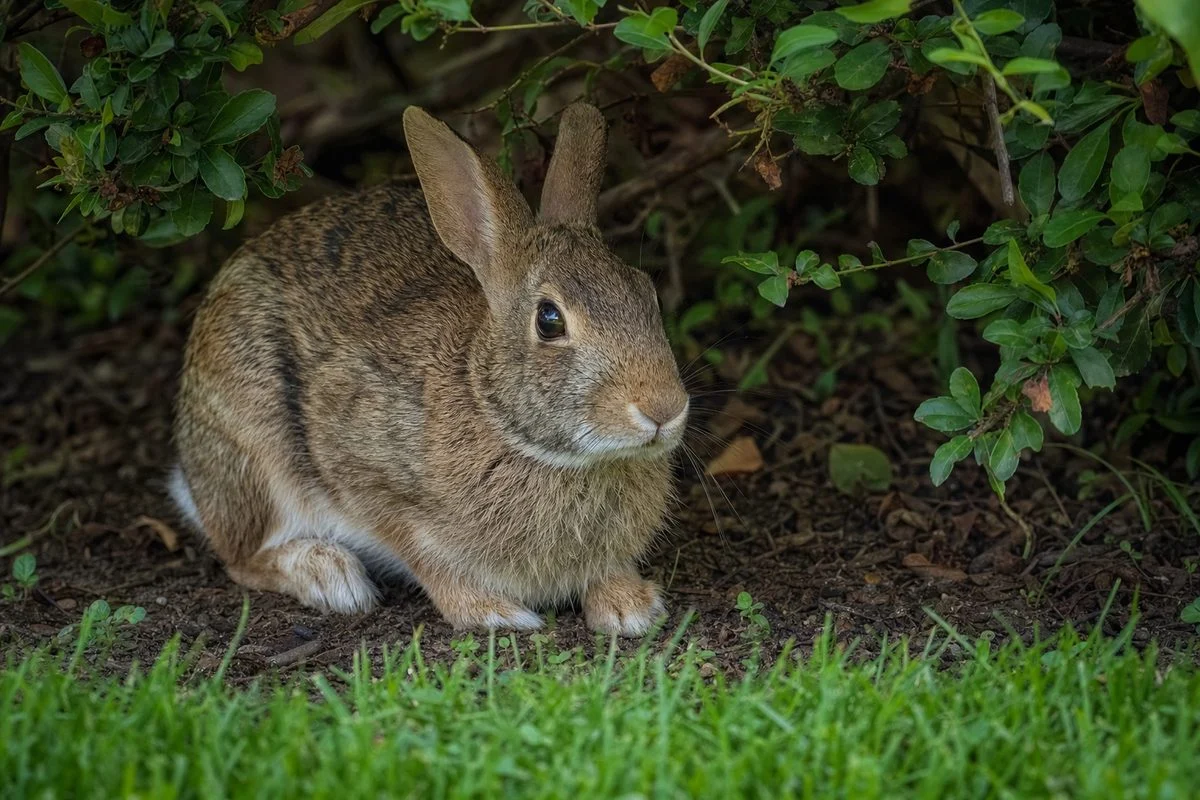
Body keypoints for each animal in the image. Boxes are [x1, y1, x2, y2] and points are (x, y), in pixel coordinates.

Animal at [169, 103, 690, 635]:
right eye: (549, 320)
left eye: (646, 293)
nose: (664, 409)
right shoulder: (365, 469)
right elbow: (423, 554)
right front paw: (491, 611)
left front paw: (629, 607)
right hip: (253, 443)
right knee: (242, 556)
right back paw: (328, 575)